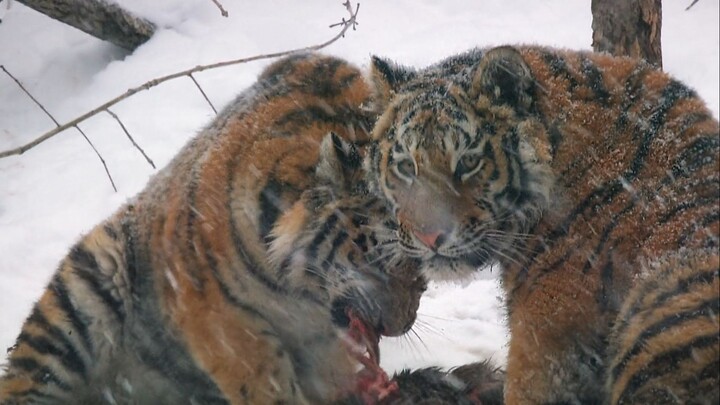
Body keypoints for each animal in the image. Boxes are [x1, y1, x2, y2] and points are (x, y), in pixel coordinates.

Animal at [0, 53, 426, 404]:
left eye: (425, 275)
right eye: (385, 258)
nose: (398, 328)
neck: (301, 294)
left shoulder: (323, 345)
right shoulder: (220, 319)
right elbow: (267, 386)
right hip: (83, 288)